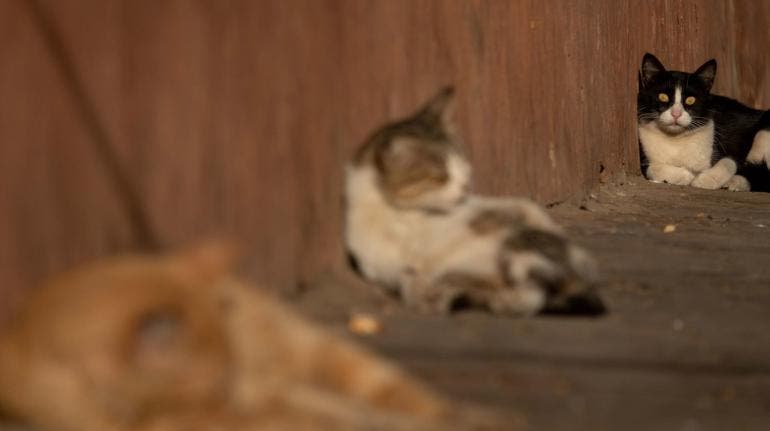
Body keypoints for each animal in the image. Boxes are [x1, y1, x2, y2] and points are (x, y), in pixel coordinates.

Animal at [344, 88, 608, 318]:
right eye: (440, 177)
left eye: (462, 164)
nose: (465, 187)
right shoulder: (381, 261)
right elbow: (407, 274)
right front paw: (424, 292)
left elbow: (521, 208)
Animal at [636, 51, 768, 192]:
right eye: (663, 96)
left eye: (690, 100)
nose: (676, 114)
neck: (675, 140)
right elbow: (652, 168)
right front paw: (686, 176)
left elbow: (730, 161)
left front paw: (703, 180)